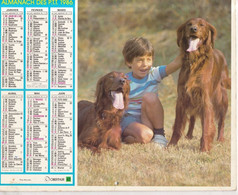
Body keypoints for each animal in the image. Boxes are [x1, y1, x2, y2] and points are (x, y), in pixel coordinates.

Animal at [168, 17, 231, 152]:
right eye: (189, 24)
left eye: (202, 25)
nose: (193, 29)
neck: (194, 60)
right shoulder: (182, 98)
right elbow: (177, 126)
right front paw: (171, 145)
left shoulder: (205, 100)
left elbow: (207, 127)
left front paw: (204, 149)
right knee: (192, 118)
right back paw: (189, 135)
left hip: (222, 99)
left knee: (221, 121)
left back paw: (220, 138)